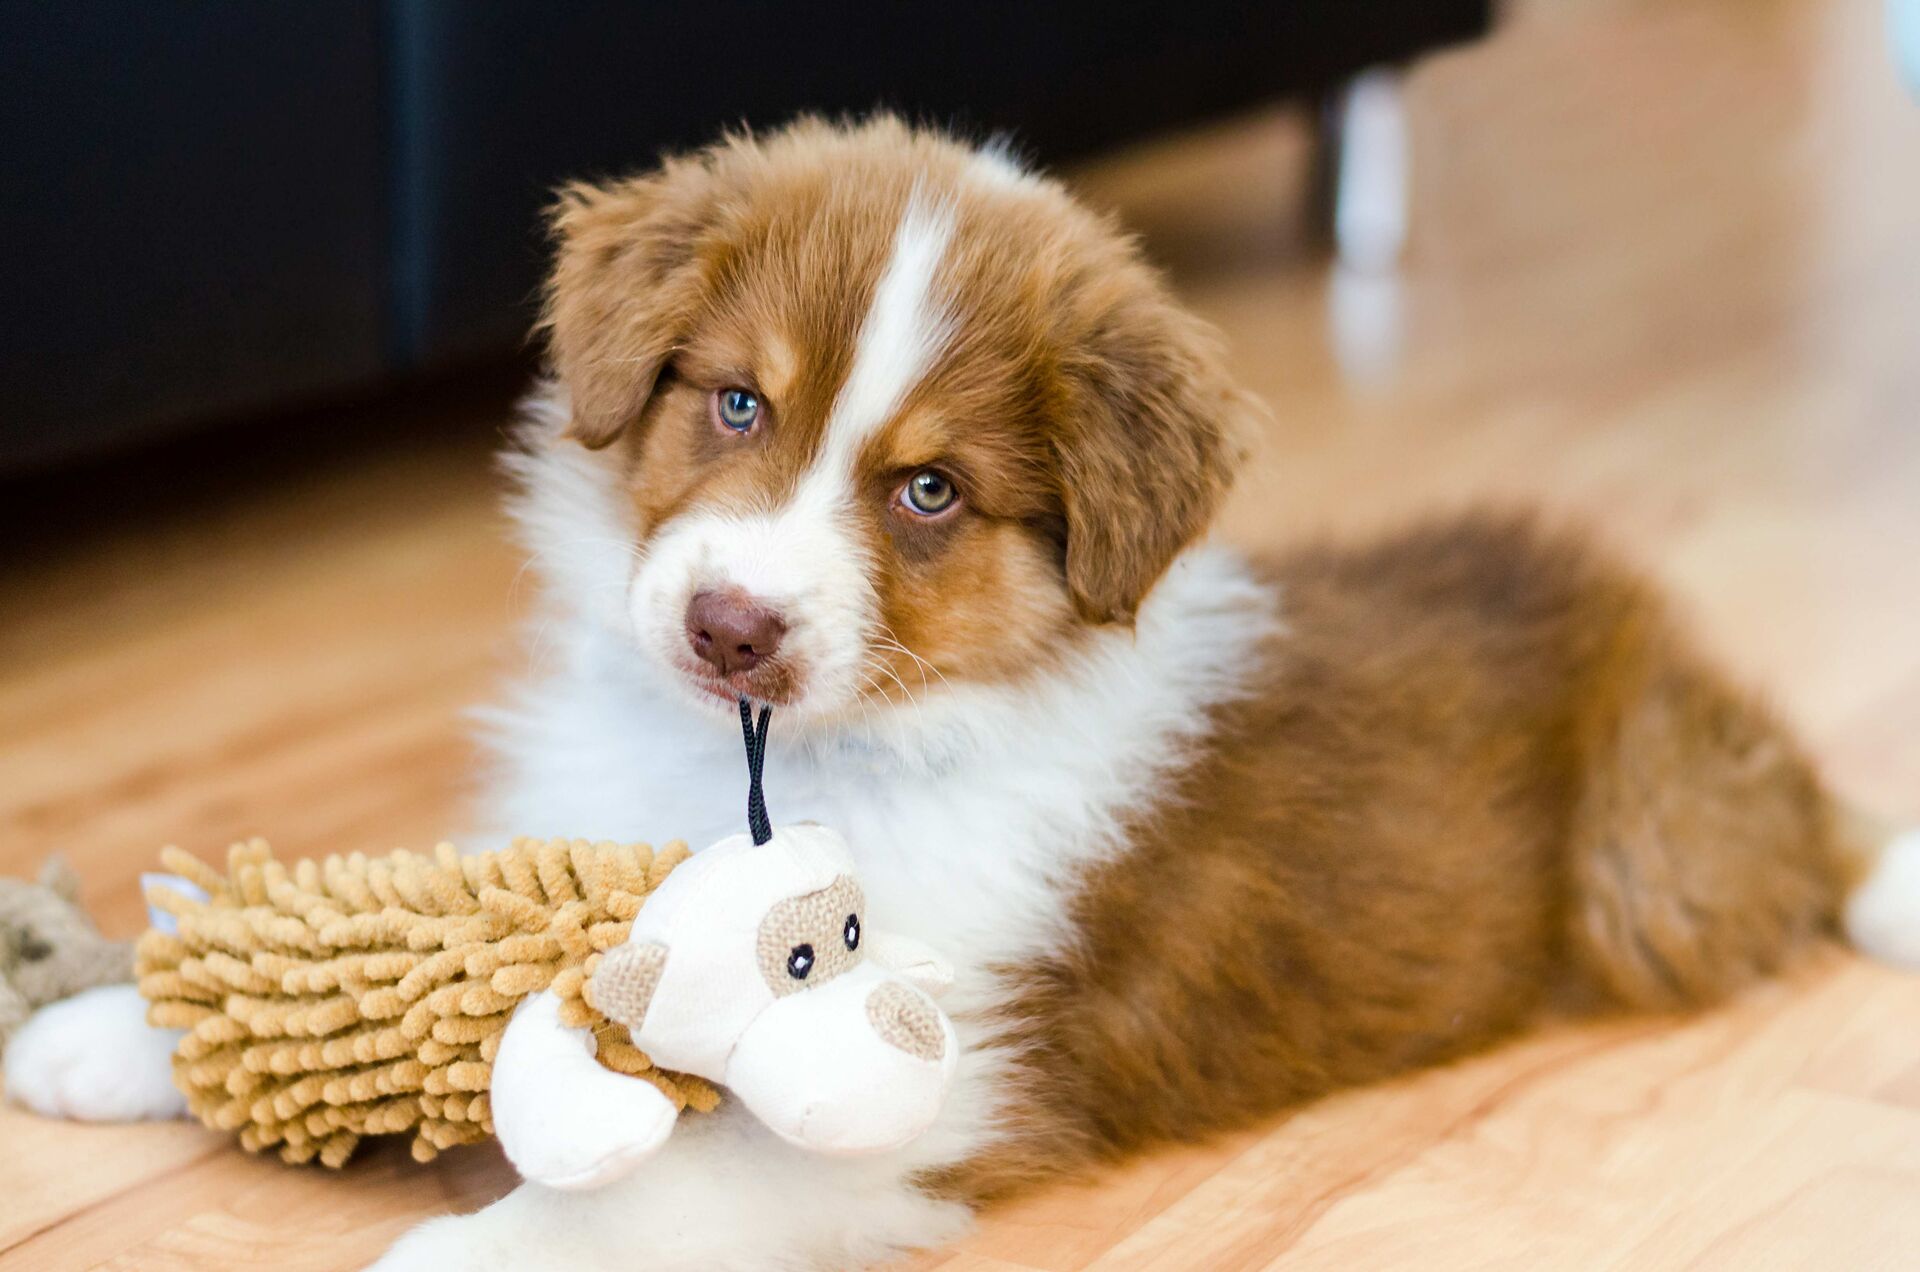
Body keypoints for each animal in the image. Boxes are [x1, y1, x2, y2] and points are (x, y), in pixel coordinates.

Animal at [7, 114, 1912, 1268]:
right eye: (738, 403)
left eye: (930, 491)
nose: (731, 629)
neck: (774, 758)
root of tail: (1635, 625)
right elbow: (383, 951)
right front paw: (122, 1030)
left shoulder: (915, 1082)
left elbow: (680, 1176)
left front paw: (463, 1243)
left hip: (1662, 859)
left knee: (1802, 841)